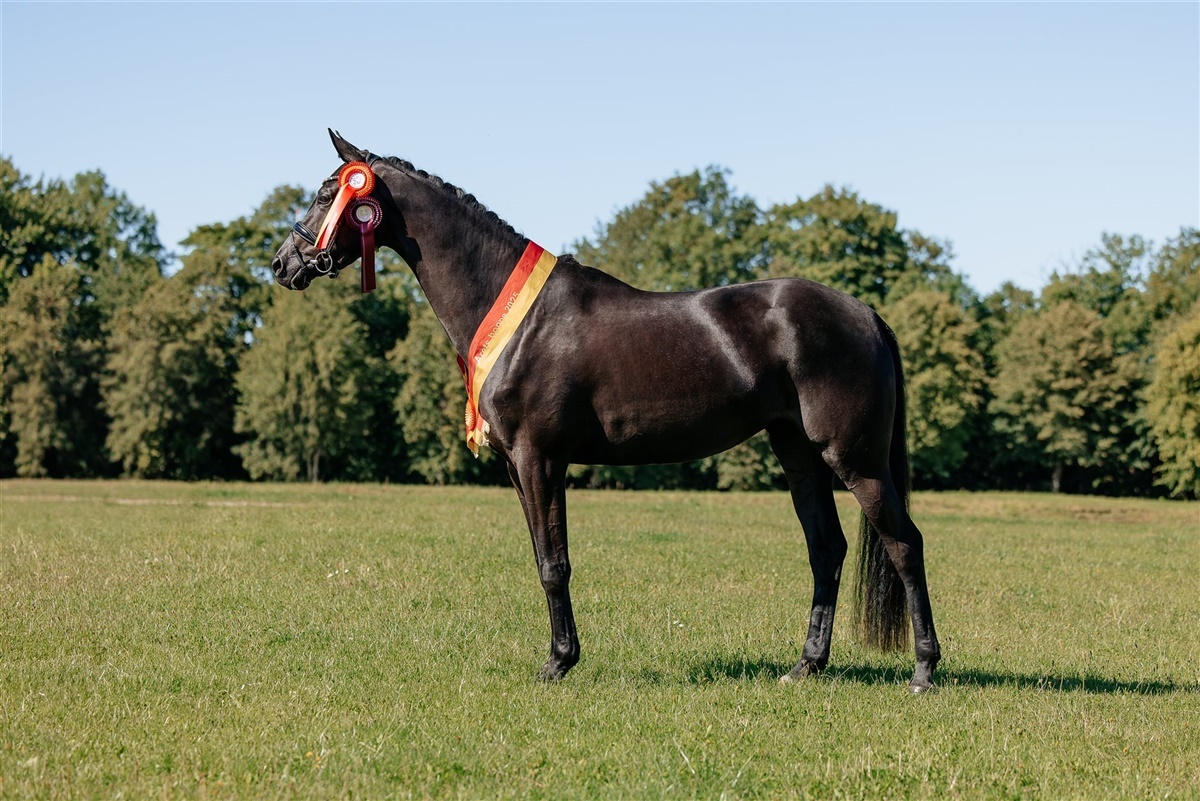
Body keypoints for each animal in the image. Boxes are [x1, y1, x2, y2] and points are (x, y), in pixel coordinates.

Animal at [271, 130, 941, 692]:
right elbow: (543, 558)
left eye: (330, 192)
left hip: (855, 459)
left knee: (905, 544)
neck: (516, 318)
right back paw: (806, 666)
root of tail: (867, 315)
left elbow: (555, 565)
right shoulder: (518, 466)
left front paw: (557, 664)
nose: (282, 264)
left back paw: (924, 671)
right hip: (799, 455)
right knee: (826, 549)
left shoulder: (541, 459)